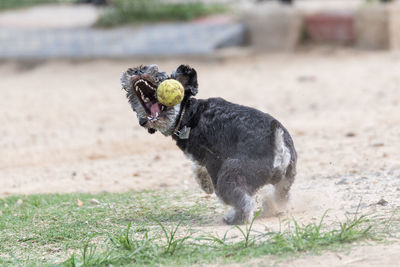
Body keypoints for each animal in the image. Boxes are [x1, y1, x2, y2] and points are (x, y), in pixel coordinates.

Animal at [120, 65, 296, 226]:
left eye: (159, 76)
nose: (137, 71)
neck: (187, 114)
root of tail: (278, 142)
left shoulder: (213, 160)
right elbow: (197, 167)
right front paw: (205, 183)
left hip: (231, 175)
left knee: (245, 204)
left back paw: (234, 218)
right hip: (285, 181)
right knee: (279, 197)